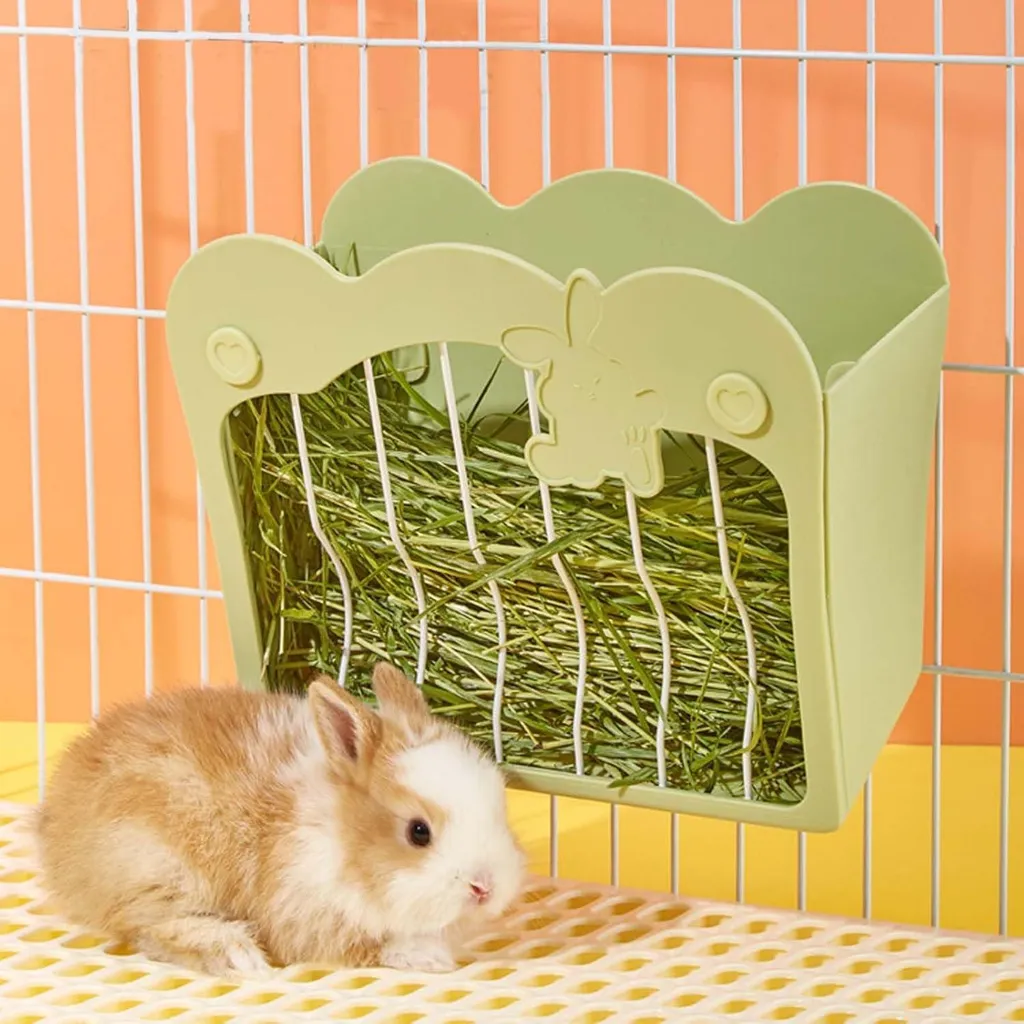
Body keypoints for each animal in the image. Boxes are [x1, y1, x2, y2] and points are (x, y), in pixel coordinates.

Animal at [34, 661, 527, 977]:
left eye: (499, 807)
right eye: (418, 832)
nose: (485, 888)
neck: (338, 837)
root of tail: (55, 824)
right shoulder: (302, 912)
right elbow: (366, 945)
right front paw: (428, 957)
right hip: (161, 871)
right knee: (148, 927)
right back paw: (236, 954)